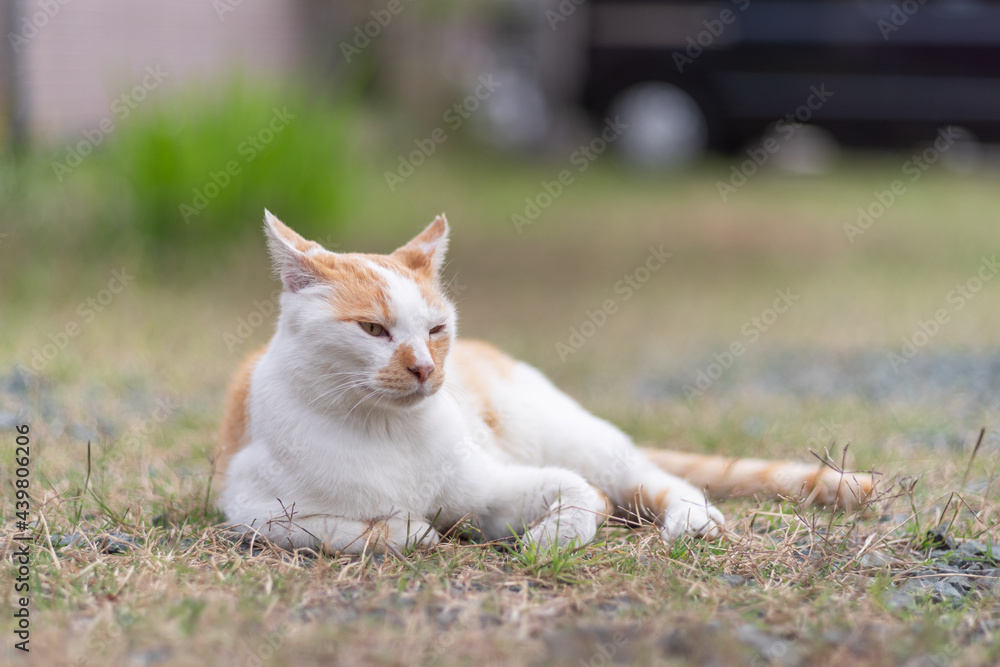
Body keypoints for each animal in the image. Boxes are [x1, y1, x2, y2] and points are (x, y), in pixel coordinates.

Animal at [213, 211, 876, 556]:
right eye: (374, 329)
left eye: (435, 329)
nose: (426, 368)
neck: (387, 431)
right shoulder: (249, 511)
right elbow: (347, 530)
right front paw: (415, 528)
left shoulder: (499, 484)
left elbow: (585, 497)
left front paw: (548, 541)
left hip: (576, 440)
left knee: (651, 479)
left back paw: (692, 521)